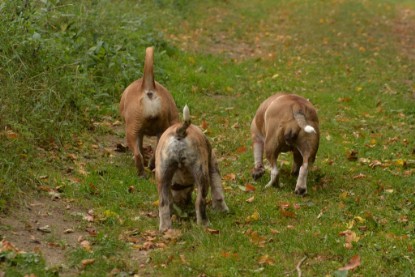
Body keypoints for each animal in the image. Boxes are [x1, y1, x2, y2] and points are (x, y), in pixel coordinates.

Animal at [119, 45, 180, 175]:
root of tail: (148, 89)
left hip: (131, 132)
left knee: (138, 155)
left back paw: (141, 173)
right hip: (161, 132)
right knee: (156, 153)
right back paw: (151, 165)